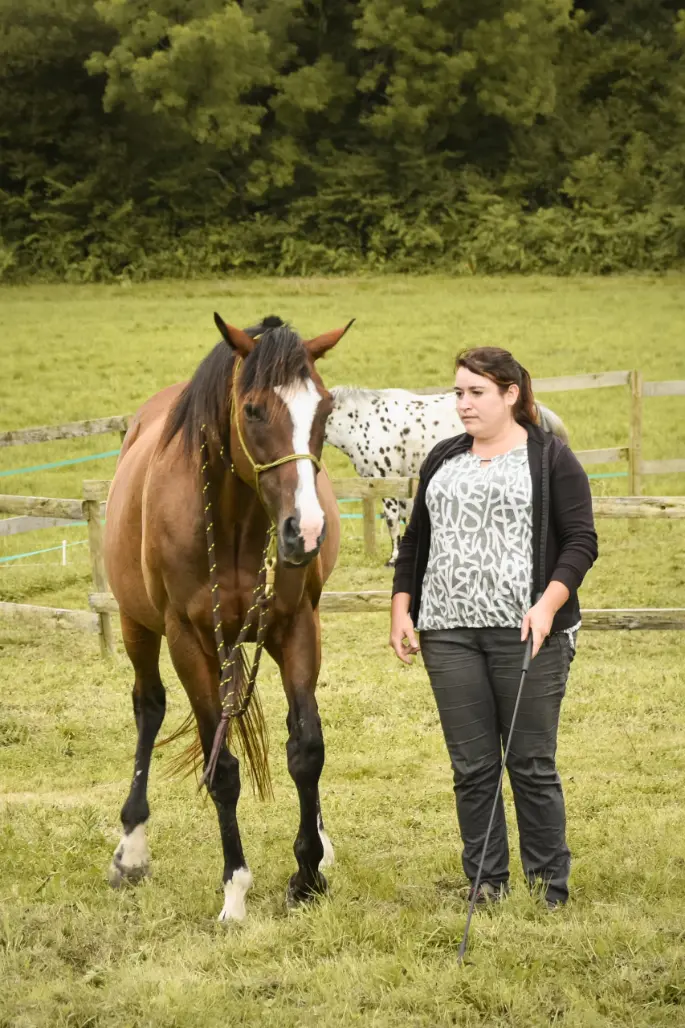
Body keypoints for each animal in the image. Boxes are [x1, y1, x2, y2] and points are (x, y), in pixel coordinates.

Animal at [106, 310, 351, 916]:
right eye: (253, 409)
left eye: (326, 409)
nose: (306, 532)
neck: (237, 519)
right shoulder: (185, 639)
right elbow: (222, 769)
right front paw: (235, 889)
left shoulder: (296, 626)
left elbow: (306, 748)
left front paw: (307, 874)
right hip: (136, 626)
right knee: (148, 708)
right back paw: (131, 848)